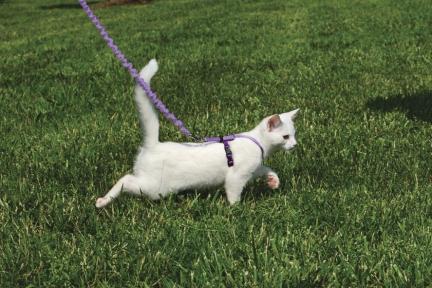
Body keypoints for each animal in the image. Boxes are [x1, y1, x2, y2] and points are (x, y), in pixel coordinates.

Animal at [96, 59, 298, 207]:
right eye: (286, 137)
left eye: (294, 135)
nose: (295, 145)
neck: (257, 143)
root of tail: (154, 144)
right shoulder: (236, 176)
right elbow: (233, 193)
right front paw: (236, 209)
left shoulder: (253, 170)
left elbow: (267, 169)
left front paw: (273, 181)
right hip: (153, 188)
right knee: (126, 180)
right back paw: (103, 201)